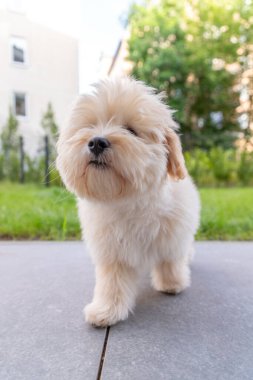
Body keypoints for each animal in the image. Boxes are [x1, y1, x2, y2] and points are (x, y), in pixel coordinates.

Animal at [56, 77, 200, 326]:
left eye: (131, 130)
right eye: (90, 126)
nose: (96, 142)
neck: (128, 201)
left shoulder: (173, 237)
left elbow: (170, 261)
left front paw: (172, 283)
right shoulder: (112, 252)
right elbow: (112, 282)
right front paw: (106, 309)